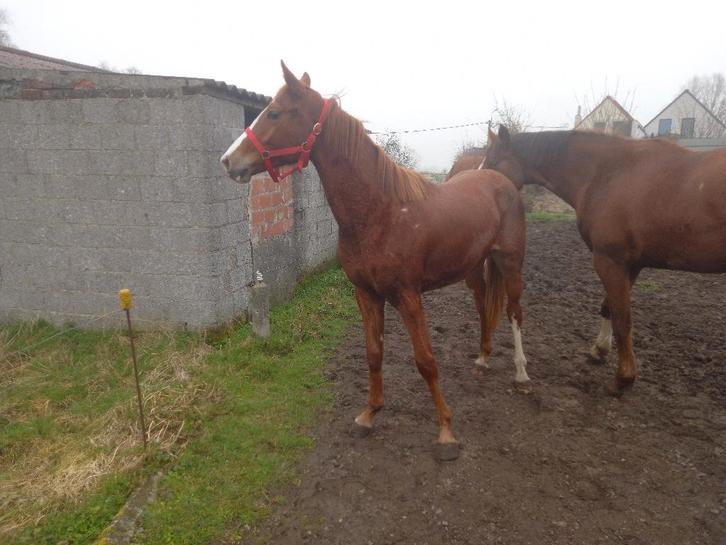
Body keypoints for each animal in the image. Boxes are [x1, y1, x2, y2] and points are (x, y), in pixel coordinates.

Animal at [220, 62, 531, 460]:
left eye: (273, 113)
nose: (229, 161)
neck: (380, 213)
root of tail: (501, 180)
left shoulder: (409, 298)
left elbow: (426, 361)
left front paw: (446, 433)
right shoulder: (366, 294)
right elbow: (373, 354)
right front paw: (368, 415)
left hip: (510, 263)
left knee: (514, 311)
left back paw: (521, 375)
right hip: (475, 269)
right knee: (483, 308)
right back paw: (482, 360)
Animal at [484, 126, 726, 395]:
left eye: (492, 162)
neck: (609, 173)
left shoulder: (610, 261)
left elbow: (622, 319)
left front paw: (623, 378)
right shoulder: (630, 265)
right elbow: (610, 307)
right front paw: (599, 350)